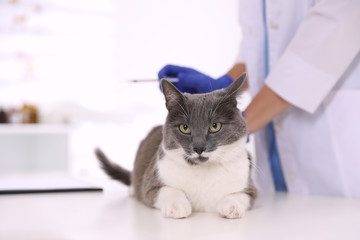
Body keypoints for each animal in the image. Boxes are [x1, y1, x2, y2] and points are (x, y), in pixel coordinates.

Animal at [95, 73, 258, 219]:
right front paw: (177, 206)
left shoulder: (250, 187)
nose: (199, 147)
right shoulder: (150, 183)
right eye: (184, 128)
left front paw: (231, 206)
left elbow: (240, 194)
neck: (203, 171)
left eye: (215, 126)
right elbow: (166, 190)